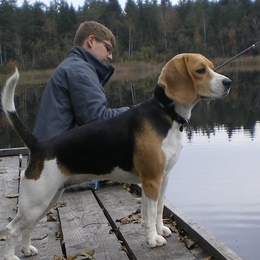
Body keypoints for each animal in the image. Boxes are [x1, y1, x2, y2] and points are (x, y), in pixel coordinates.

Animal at [1, 53, 231, 260]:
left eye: (212, 67)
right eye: (200, 70)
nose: (228, 82)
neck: (166, 114)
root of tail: (40, 145)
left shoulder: (163, 179)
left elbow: (158, 210)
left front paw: (161, 230)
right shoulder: (151, 181)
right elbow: (148, 213)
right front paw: (153, 239)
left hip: (47, 200)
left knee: (27, 227)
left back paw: (27, 250)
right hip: (36, 200)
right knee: (11, 229)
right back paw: (11, 256)